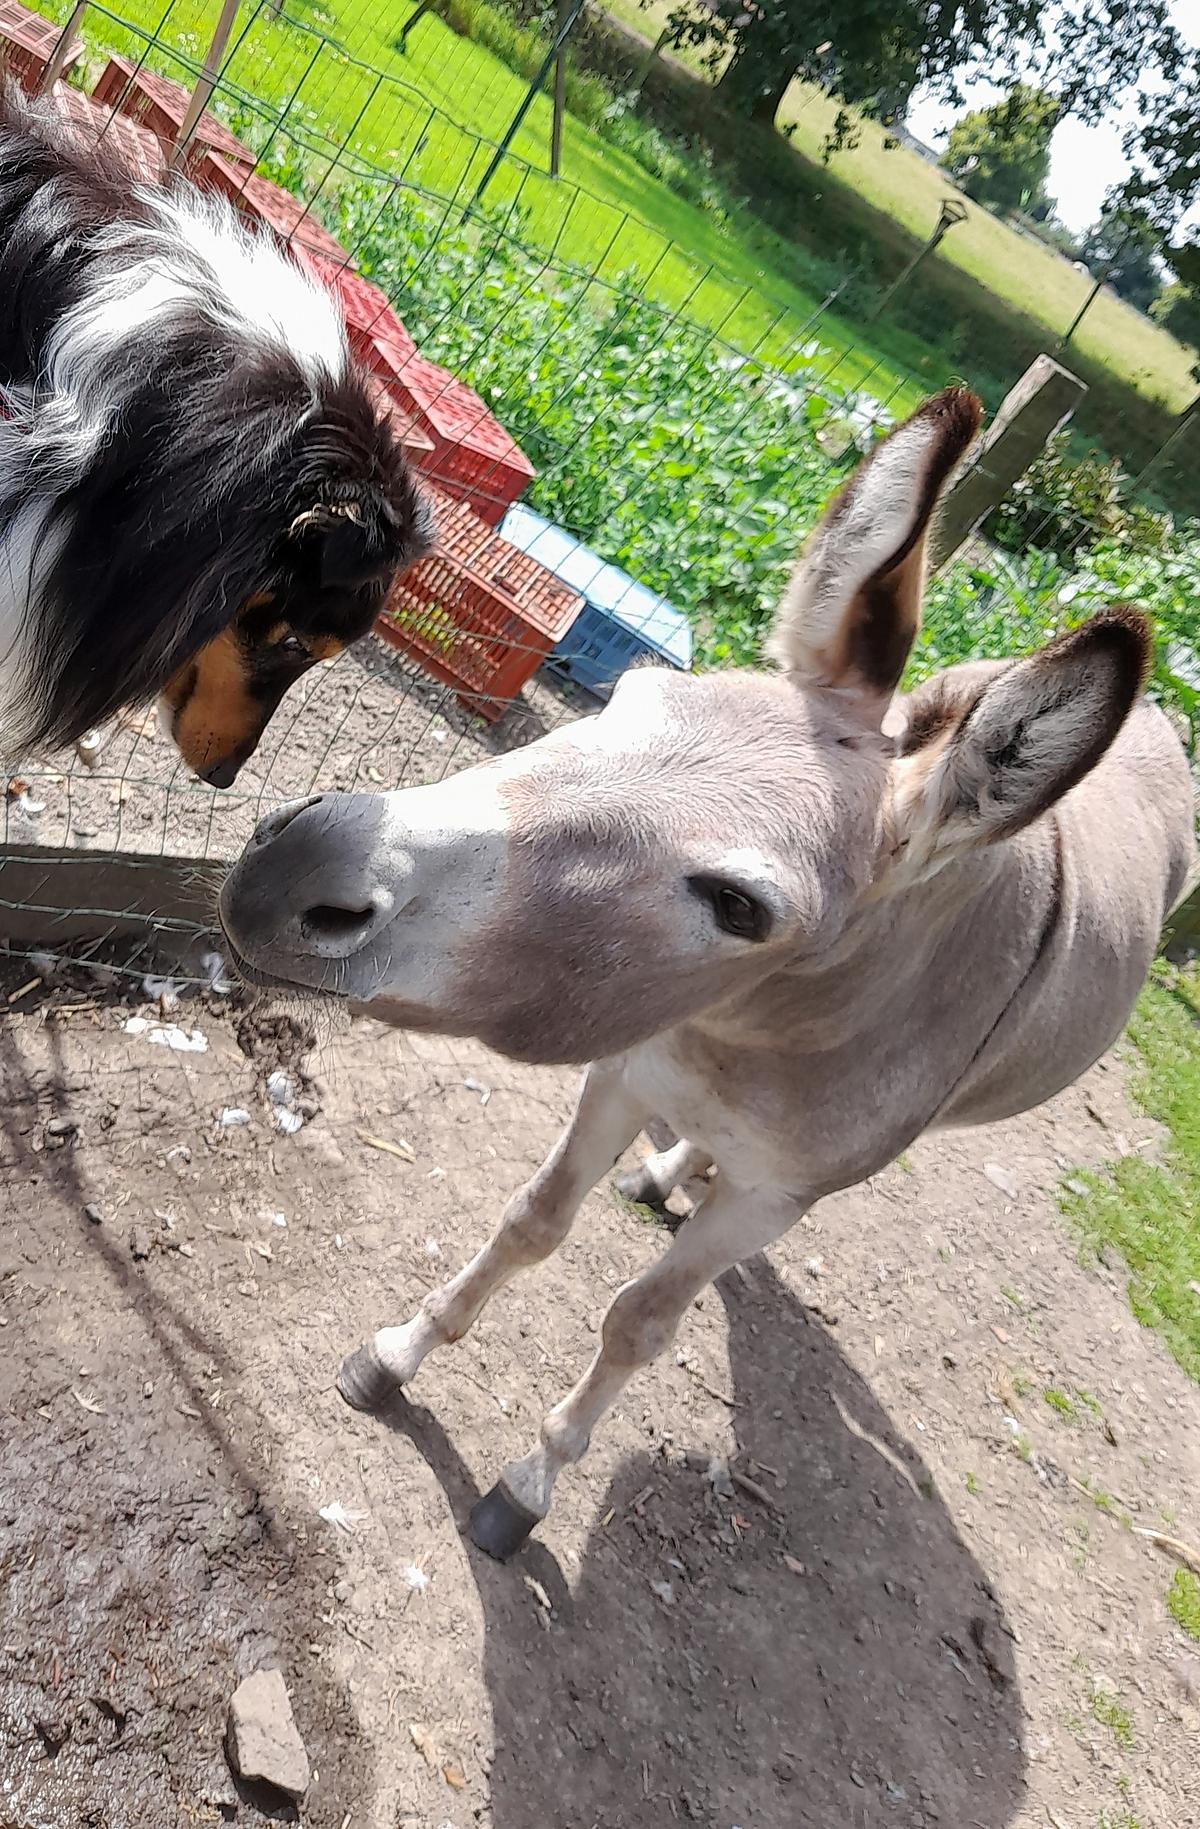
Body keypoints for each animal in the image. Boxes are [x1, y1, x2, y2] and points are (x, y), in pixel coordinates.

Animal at [220, 385, 1192, 1558]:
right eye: (627, 698)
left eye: (739, 906)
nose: (288, 870)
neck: (753, 1024)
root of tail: (1154, 719)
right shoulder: (628, 1066)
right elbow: (531, 1219)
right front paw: (400, 1351)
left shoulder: (776, 1193)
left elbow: (640, 1321)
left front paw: (529, 1483)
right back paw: (667, 1165)